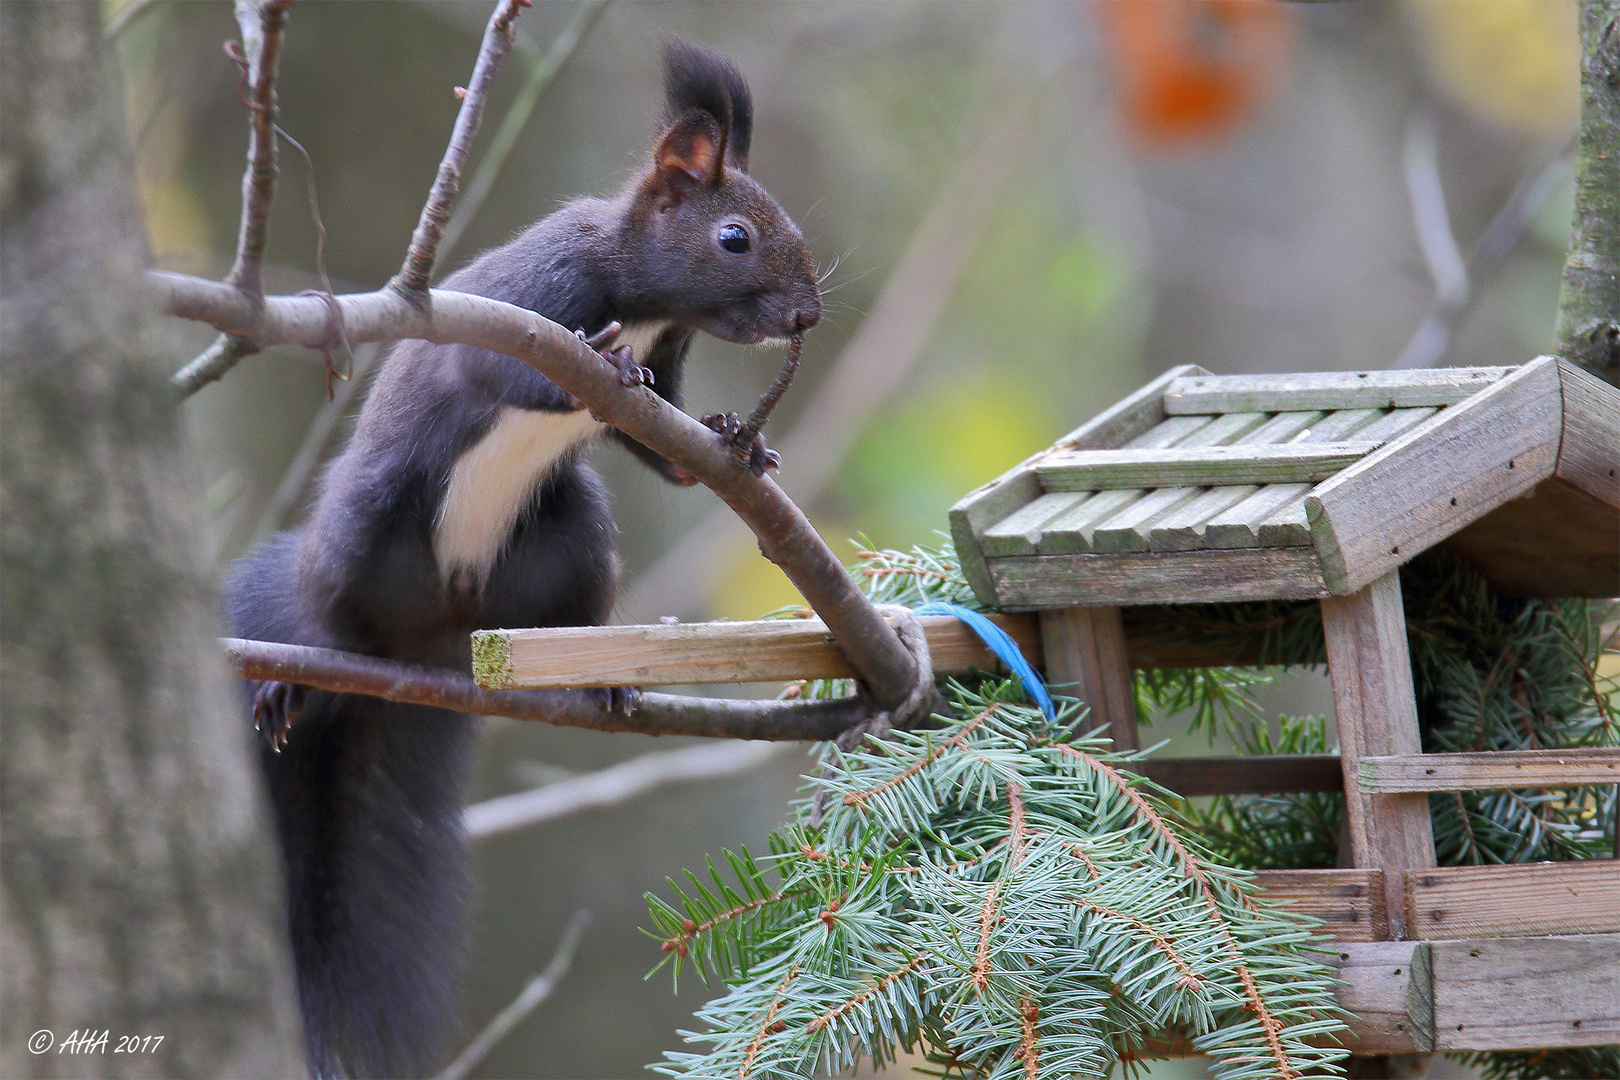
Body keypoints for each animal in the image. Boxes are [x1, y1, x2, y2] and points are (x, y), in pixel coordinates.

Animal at [225, 38, 822, 1075]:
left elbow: (661, 445)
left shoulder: (666, 365)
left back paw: (603, 677)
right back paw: (298, 675)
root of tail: (434, 636)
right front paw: (608, 366)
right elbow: (505, 372)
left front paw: (734, 443)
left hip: (571, 535)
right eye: (736, 237)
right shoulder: (529, 297)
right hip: (364, 535)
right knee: (327, 622)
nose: (810, 316)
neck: (642, 294)